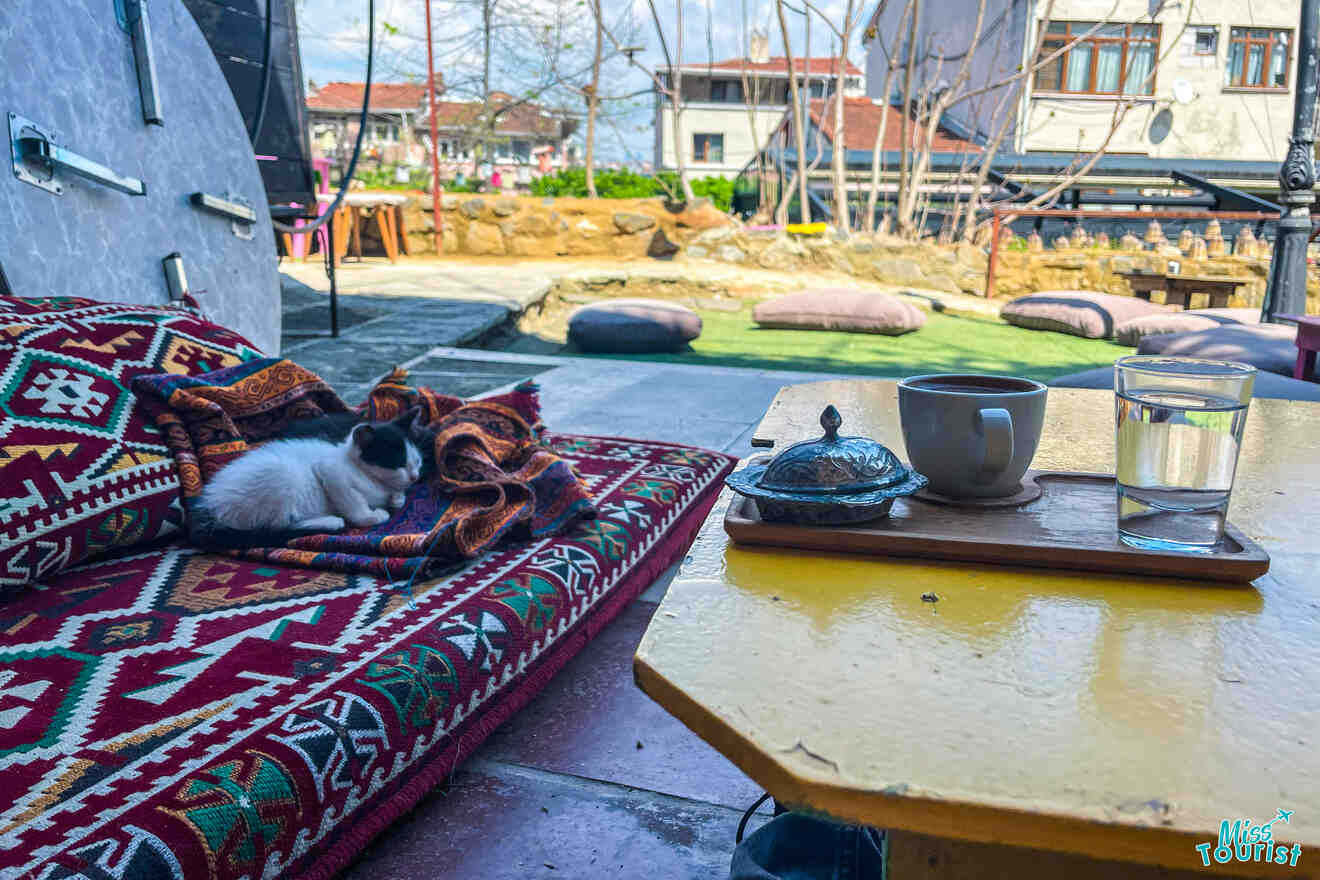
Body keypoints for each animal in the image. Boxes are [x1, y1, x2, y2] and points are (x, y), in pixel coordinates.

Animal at [191, 408, 422, 546]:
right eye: (398, 463)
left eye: (417, 461)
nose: (414, 477)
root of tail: (210, 506)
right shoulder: (330, 471)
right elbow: (354, 505)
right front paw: (372, 516)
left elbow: (397, 496)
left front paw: (397, 497)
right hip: (282, 477)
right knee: (277, 526)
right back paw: (330, 522)